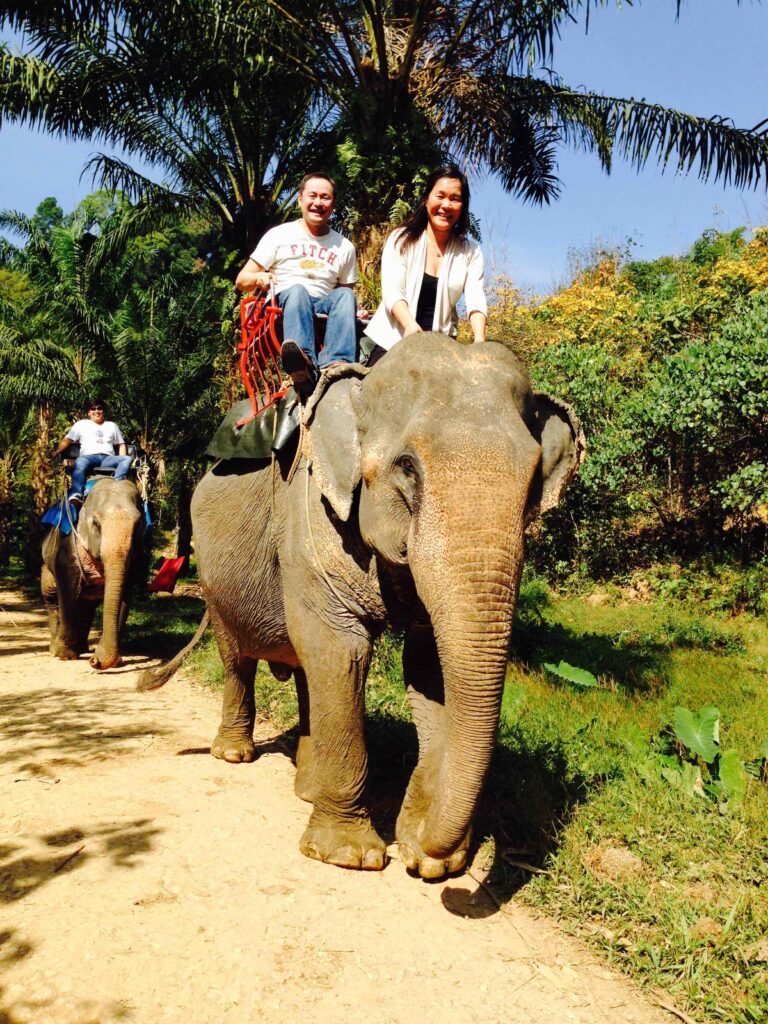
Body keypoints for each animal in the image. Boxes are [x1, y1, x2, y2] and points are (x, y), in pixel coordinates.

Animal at [41, 475, 145, 667]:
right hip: (46, 563)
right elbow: (67, 592)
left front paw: (114, 659)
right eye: (96, 524)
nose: (94, 661)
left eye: (139, 524)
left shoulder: (136, 555)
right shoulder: (66, 548)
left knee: (86, 605)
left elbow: (125, 593)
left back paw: (81, 648)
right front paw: (66, 655)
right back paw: (56, 648)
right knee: (51, 598)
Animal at [143, 335, 581, 880]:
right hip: (212, 571)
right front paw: (350, 856)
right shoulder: (311, 514)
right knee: (238, 658)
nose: (427, 849)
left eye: (534, 480)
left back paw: (307, 788)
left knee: (305, 667)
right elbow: (342, 650)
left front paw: (429, 858)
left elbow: (428, 667)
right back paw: (233, 755)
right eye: (407, 467)